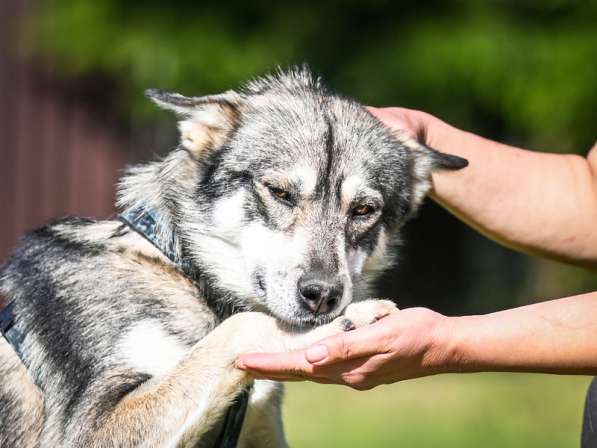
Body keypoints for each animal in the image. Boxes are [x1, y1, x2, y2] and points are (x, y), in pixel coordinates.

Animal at [0, 66, 466, 448]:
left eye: (364, 210)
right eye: (279, 192)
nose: (323, 296)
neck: (189, 275)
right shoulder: (92, 427)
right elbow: (243, 326)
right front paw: (348, 318)